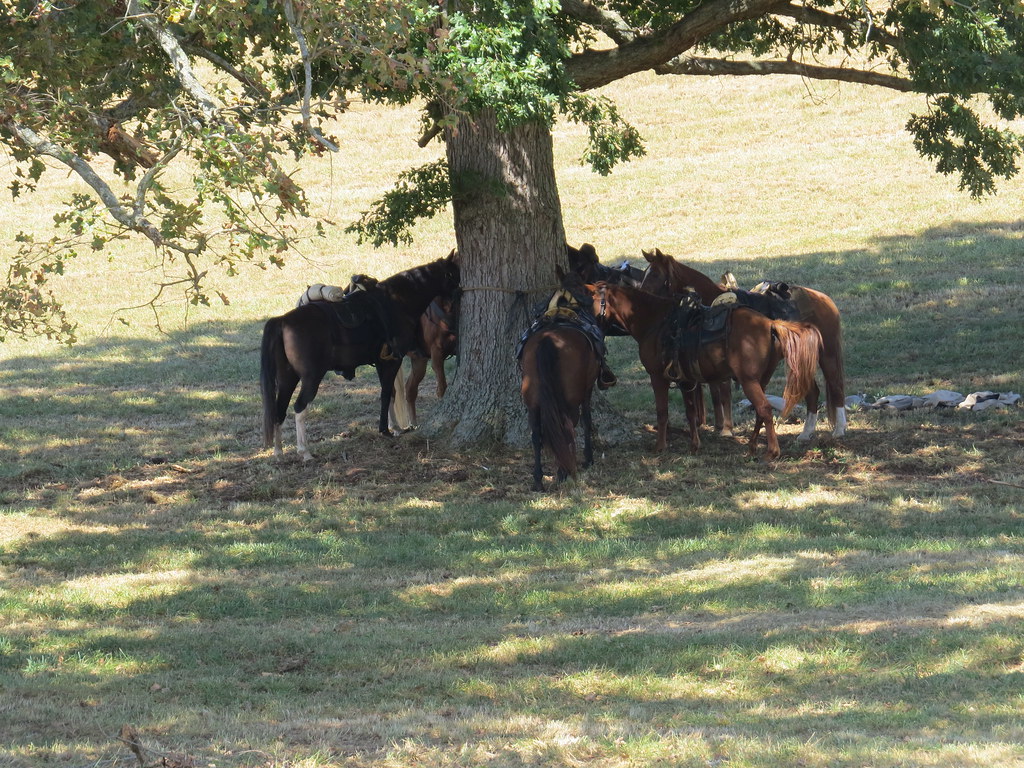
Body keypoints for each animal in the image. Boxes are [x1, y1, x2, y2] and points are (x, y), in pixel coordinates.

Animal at [260, 252, 460, 459]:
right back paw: (304, 451)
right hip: (311, 377)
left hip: (287, 377)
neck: (396, 303)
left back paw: (278, 451)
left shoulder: (383, 362)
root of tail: (283, 320)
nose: (460, 293)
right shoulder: (393, 361)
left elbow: (391, 393)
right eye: (454, 272)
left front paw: (395, 427)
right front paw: (385, 430)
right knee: (299, 408)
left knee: (279, 409)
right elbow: (386, 393)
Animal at [519, 278, 602, 490]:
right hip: (570, 399)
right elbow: (587, 419)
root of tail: (549, 339)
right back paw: (564, 471)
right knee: (567, 427)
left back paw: (538, 479)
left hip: (532, 401)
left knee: (537, 434)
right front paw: (588, 458)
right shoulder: (587, 390)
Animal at [572, 275, 822, 460]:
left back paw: (771, 451)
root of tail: (770, 323)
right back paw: (751, 447)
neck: (655, 321)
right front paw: (694, 445)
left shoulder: (657, 377)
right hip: (763, 379)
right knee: (761, 412)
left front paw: (660, 447)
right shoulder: (686, 380)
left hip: (749, 381)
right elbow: (691, 413)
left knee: (764, 409)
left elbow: (662, 412)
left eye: (588, 301)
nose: (581, 321)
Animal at [639, 248, 847, 440]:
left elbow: (724, 394)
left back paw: (839, 430)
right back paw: (806, 433)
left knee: (836, 386)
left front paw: (726, 430)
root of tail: (825, 301)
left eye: (655, 274)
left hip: (827, 355)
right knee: (813, 392)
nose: (640, 295)